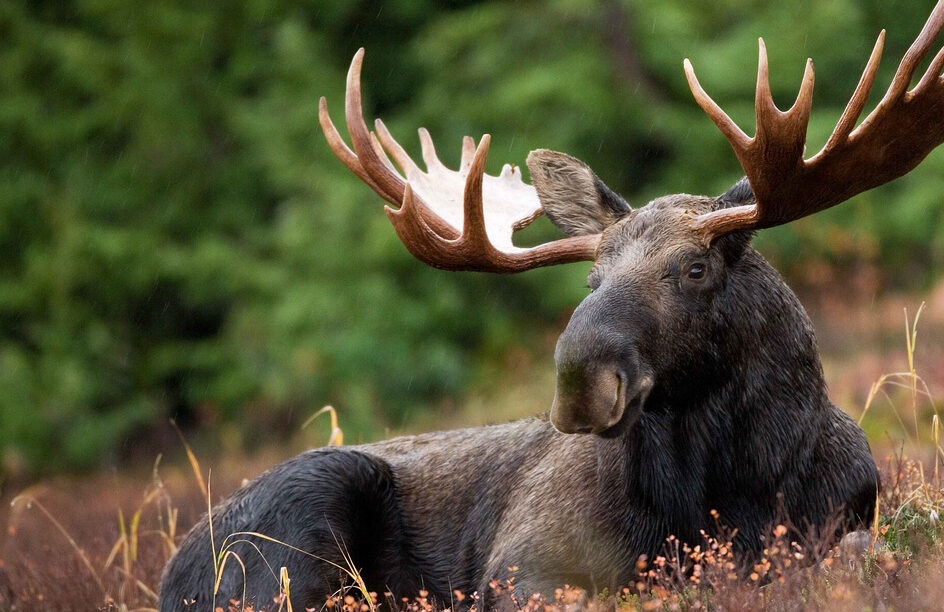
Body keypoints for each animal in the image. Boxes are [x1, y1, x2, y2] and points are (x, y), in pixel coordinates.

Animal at [159, 3, 944, 610]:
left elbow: (859, 552)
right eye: (591, 277)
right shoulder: (524, 564)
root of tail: (173, 570)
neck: (731, 490)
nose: (579, 379)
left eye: (694, 269)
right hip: (297, 522)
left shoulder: (843, 517)